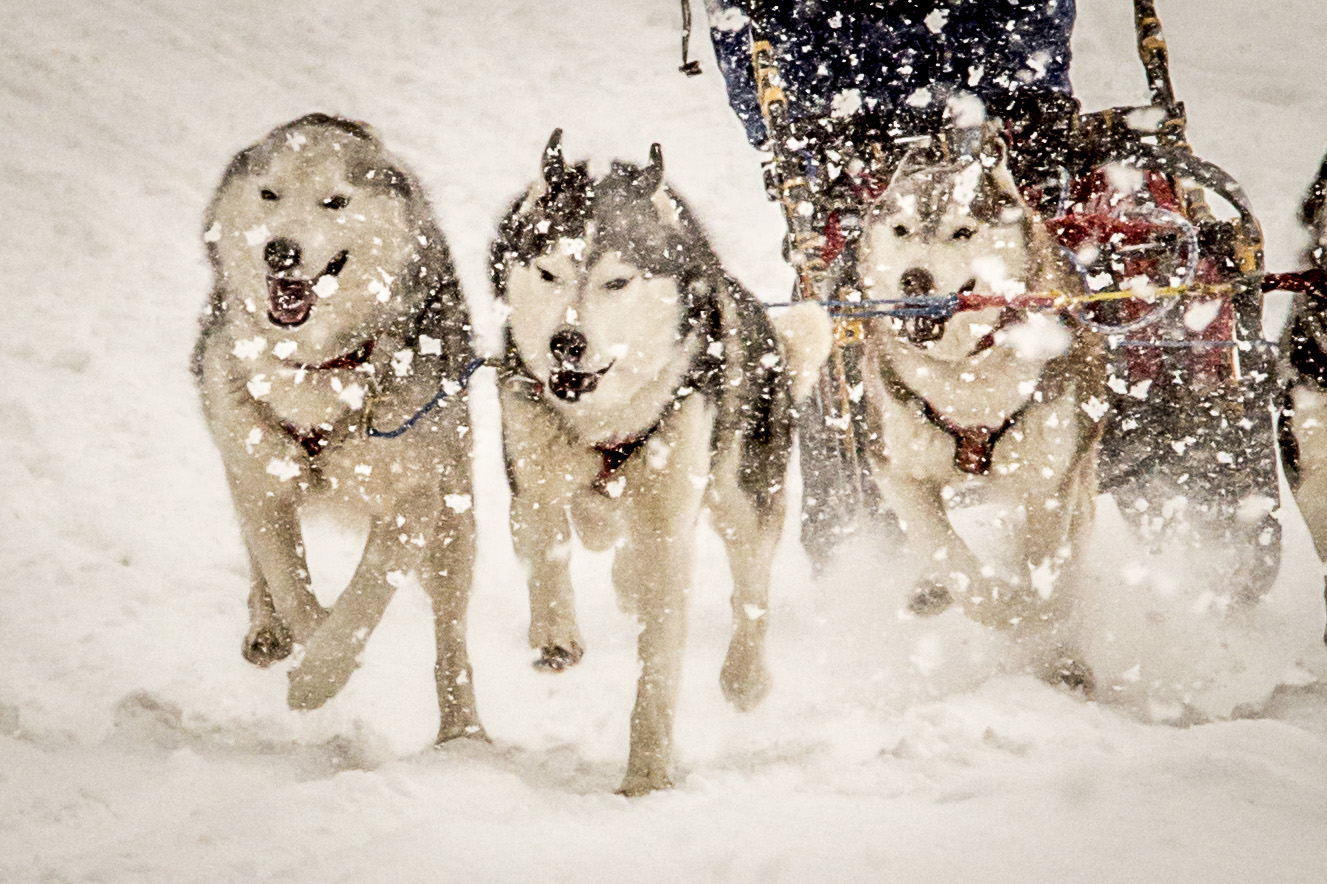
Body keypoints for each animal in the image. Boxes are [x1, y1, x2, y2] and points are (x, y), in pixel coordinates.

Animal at [193, 113, 485, 737]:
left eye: (335, 201)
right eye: (269, 194)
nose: (280, 251)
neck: (319, 369)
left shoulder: (412, 504)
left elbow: (364, 600)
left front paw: (316, 681)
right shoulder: (260, 481)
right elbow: (290, 583)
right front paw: (307, 643)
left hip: (454, 524)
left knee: (451, 637)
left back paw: (463, 734)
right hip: (240, 462)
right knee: (258, 561)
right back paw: (266, 629)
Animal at [493, 129, 828, 791]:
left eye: (616, 283)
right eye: (547, 272)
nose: (565, 343)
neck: (603, 422)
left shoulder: (670, 520)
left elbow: (660, 661)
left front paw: (646, 778)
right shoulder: (530, 474)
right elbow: (546, 547)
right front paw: (555, 634)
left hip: (740, 491)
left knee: (750, 587)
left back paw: (745, 677)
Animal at [854, 124, 1104, 684]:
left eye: (962, 232)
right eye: (901, 229)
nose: (914, 279)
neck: (966, 370)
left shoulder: (1049, 482)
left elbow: (1043, 568)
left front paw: (1045, 631)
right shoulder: (897, 468)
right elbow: (952, 560)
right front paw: (1002, 606)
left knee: (1075, 545)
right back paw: (933, 590)